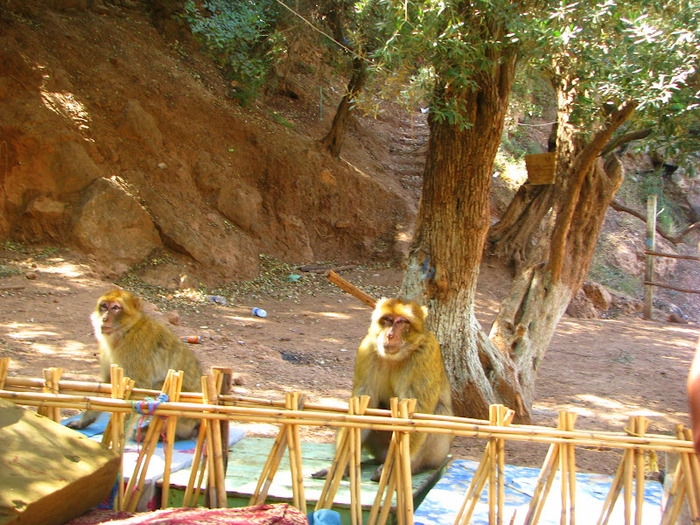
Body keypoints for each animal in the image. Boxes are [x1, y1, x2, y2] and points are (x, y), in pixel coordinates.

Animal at [67, 286, 202, 438]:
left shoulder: (134, 347)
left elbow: (138, 389)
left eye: (115, 308)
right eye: (104, 306)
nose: (104, 318)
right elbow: (109, 382)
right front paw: (84, 421)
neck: (125, 331)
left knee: (158, 387)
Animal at [356, 296, 454, 476]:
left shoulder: (426, 352)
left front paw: (394, 468)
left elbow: (415, 414)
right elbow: (363, 406)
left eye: (402, 322)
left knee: (438, 411)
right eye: (387, 320)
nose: (390, 335)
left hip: (439, 452)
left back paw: (413, 466)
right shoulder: (366, 349)